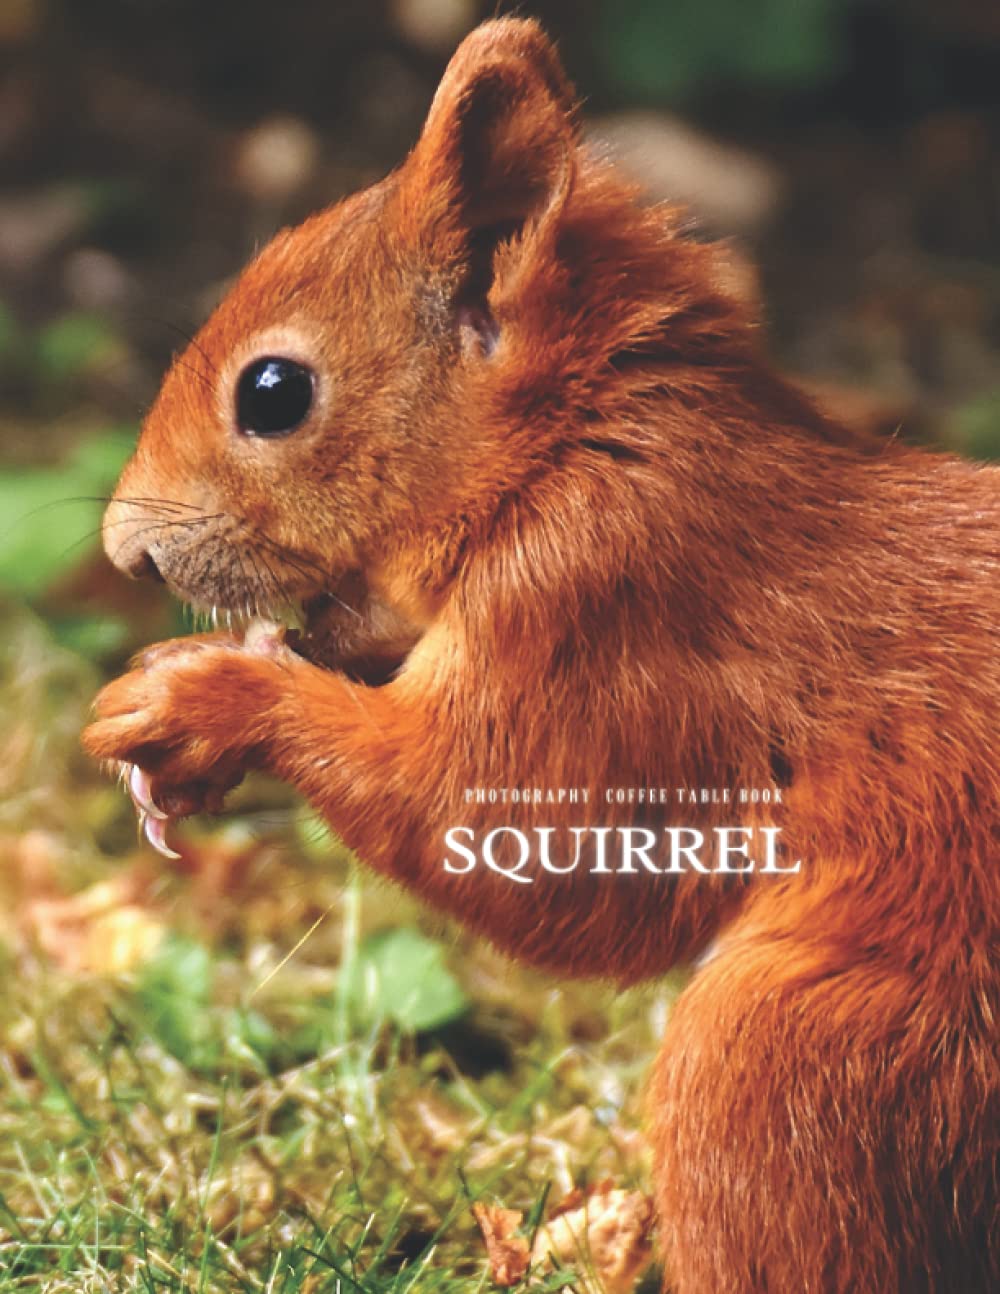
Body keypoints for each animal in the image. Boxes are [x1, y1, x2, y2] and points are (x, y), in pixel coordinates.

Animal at [83, 19, 998, 1293]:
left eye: (272, 391)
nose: (126, 550)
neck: (576, 447)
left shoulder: (604, 610)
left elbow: (513, 836)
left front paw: (206, 699)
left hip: (792, 1056)